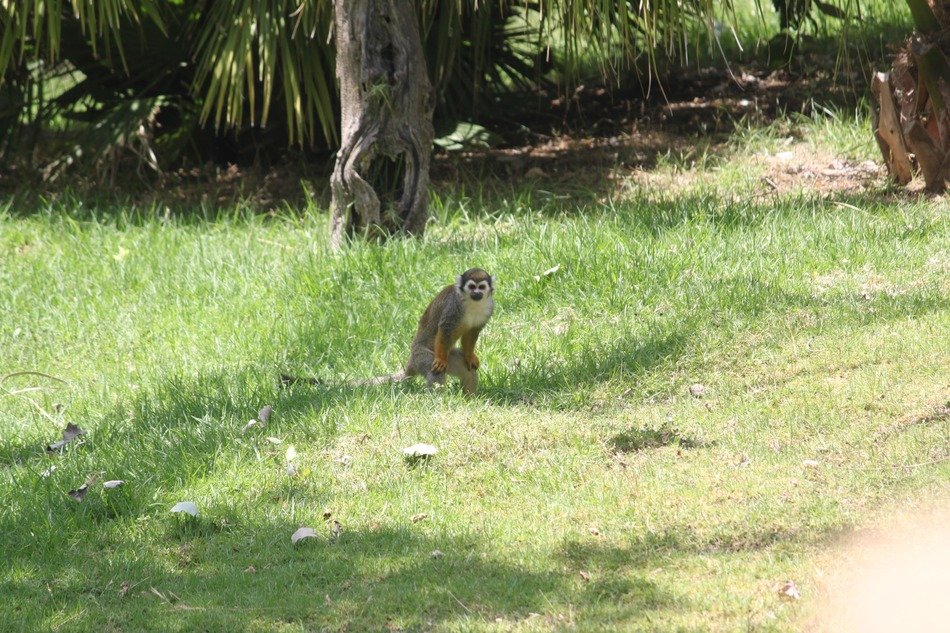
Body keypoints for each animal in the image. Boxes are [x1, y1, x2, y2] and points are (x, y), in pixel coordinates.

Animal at [281, 268, 494, 395]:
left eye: (481, 287)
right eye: (471, 287)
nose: (477, 293)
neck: (472, 304)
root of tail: (410, 362)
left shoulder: (489, 308)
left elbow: (472, 333)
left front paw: (470, 355)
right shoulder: (453, 307)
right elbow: (445, 328)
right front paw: (441, 359)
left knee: (467, 372)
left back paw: (469, 398)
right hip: (421, 357)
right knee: (436, 373)